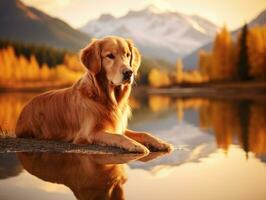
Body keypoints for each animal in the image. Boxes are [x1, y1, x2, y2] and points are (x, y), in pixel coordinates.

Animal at [15, 36, 172, 153]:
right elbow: (118, 137)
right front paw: (136, 145)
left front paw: (160, 142)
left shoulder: (118, 126)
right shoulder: (89, 133)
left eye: (127, 55)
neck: (107, 98)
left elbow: (143, 133)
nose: (129, 72)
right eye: (110, 56)